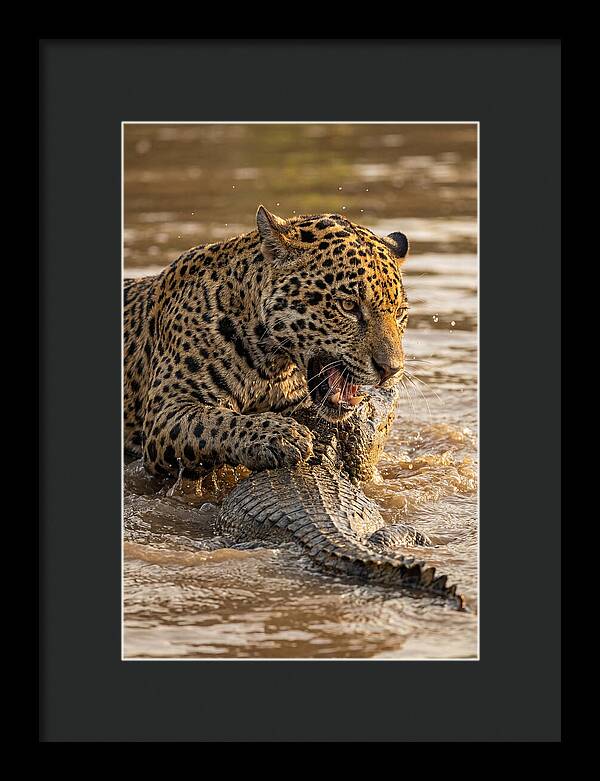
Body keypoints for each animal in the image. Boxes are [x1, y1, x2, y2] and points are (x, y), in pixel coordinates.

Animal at [123, 206, 410, 479]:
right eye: (348, 306)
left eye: (399, 313)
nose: (391, 370)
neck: (271, 365)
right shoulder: (167, 411)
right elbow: (215, 420)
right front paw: (280, 435)